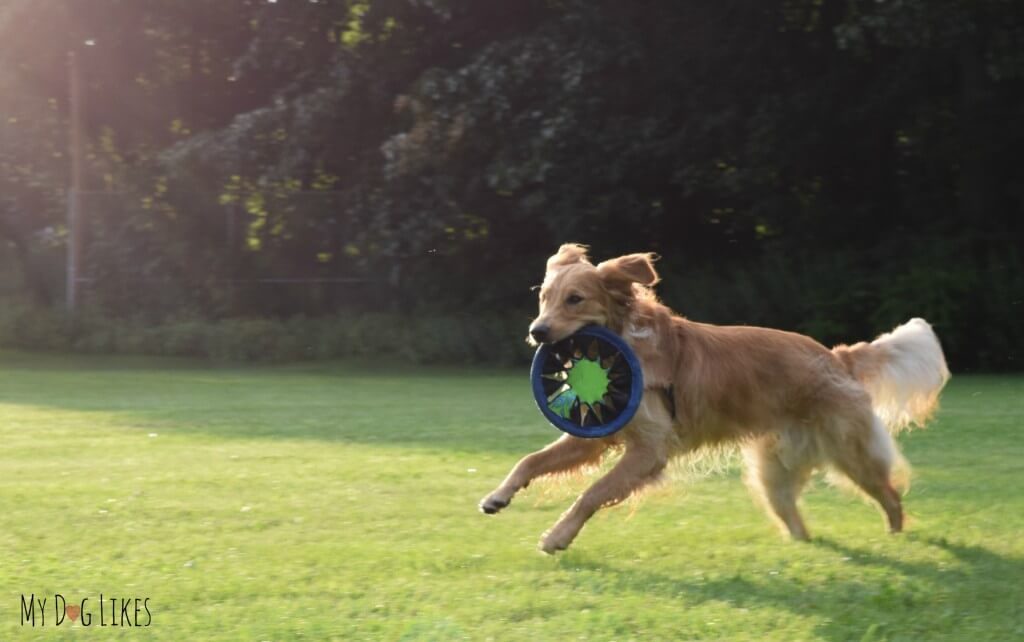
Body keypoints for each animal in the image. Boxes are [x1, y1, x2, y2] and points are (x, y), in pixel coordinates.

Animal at [479, 243, 950, 557]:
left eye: (575, 299)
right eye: (544, 298)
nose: (537, 331)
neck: (627, 343)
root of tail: (836, 356)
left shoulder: (648, 449)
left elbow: (592, 493)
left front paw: (557, 536)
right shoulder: (595, 436)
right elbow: (530, 461)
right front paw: (497, 497)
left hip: (851, 454)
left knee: (891, 494)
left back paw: (897, 539)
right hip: (772, 473)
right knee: (795, 516)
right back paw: (802, 549)